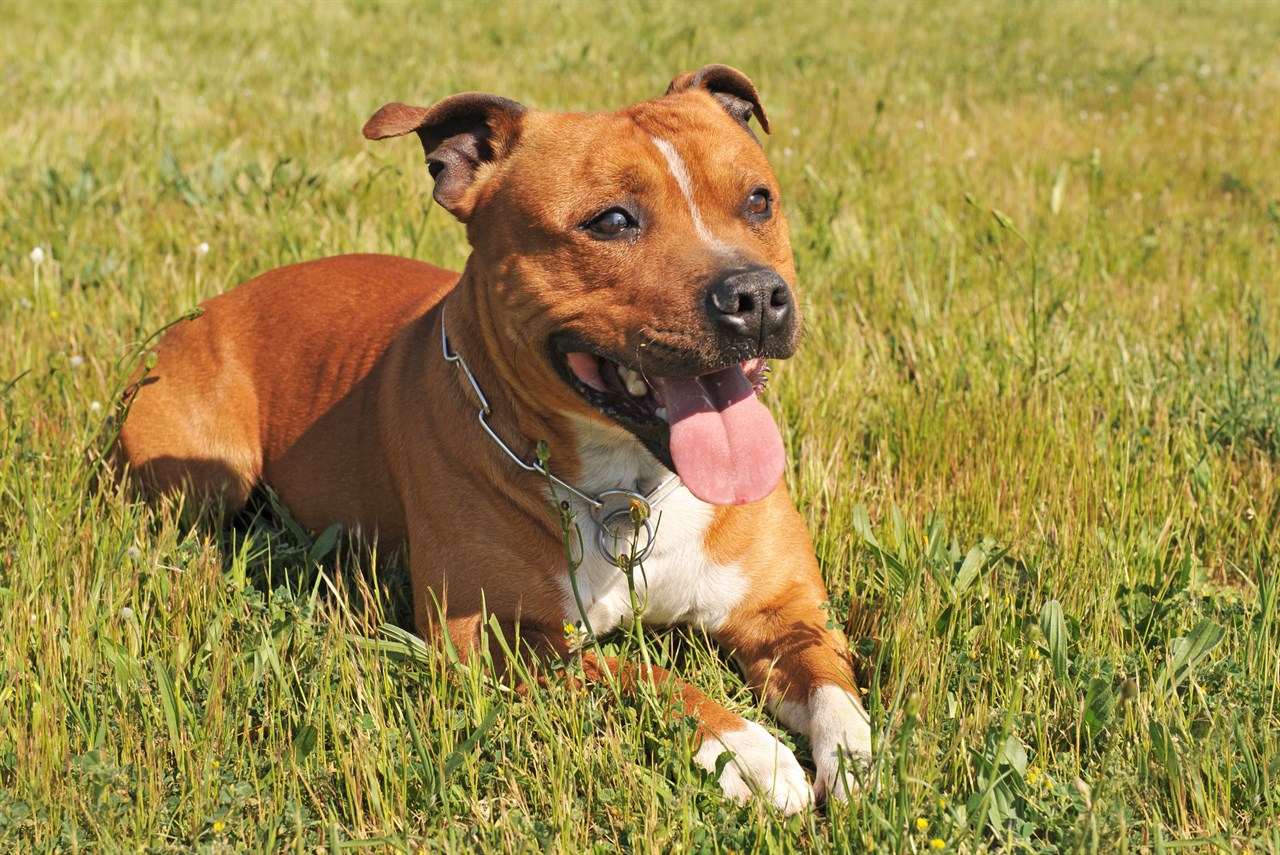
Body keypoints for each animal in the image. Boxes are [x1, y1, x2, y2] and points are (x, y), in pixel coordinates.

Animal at [120, 66, 875, 814]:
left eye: (758, 201)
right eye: (612, 221)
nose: (755, 297)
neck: (625, 488)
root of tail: (213, 304)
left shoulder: (786, 610)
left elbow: (833, 683)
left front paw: (855, 762)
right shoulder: (489, 636)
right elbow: (633, 672)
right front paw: (747, 748)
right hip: (206, 477)